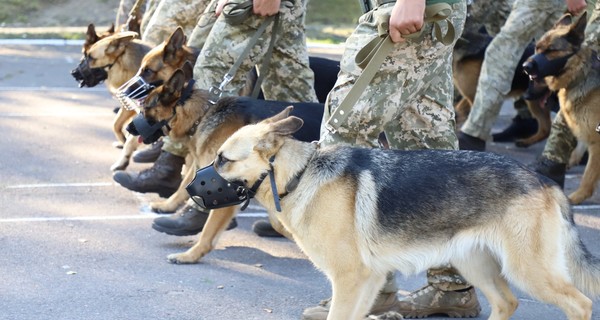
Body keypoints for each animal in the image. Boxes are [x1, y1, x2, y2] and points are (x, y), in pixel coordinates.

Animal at [196, 108, 600, 320]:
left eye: (223, 160)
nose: (189, 191)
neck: (300, 174)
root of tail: (544, 180)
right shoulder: (368, 282)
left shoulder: (350, 280)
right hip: (474, 264)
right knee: (507, 302)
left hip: (527, 271)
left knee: (580, 303)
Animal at [524, 12, 600, 204]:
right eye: (537, 48)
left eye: (551, 51)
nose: (525, 67)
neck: (581, 75)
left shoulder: (597, 142)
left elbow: (588, 176)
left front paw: (576, 197)